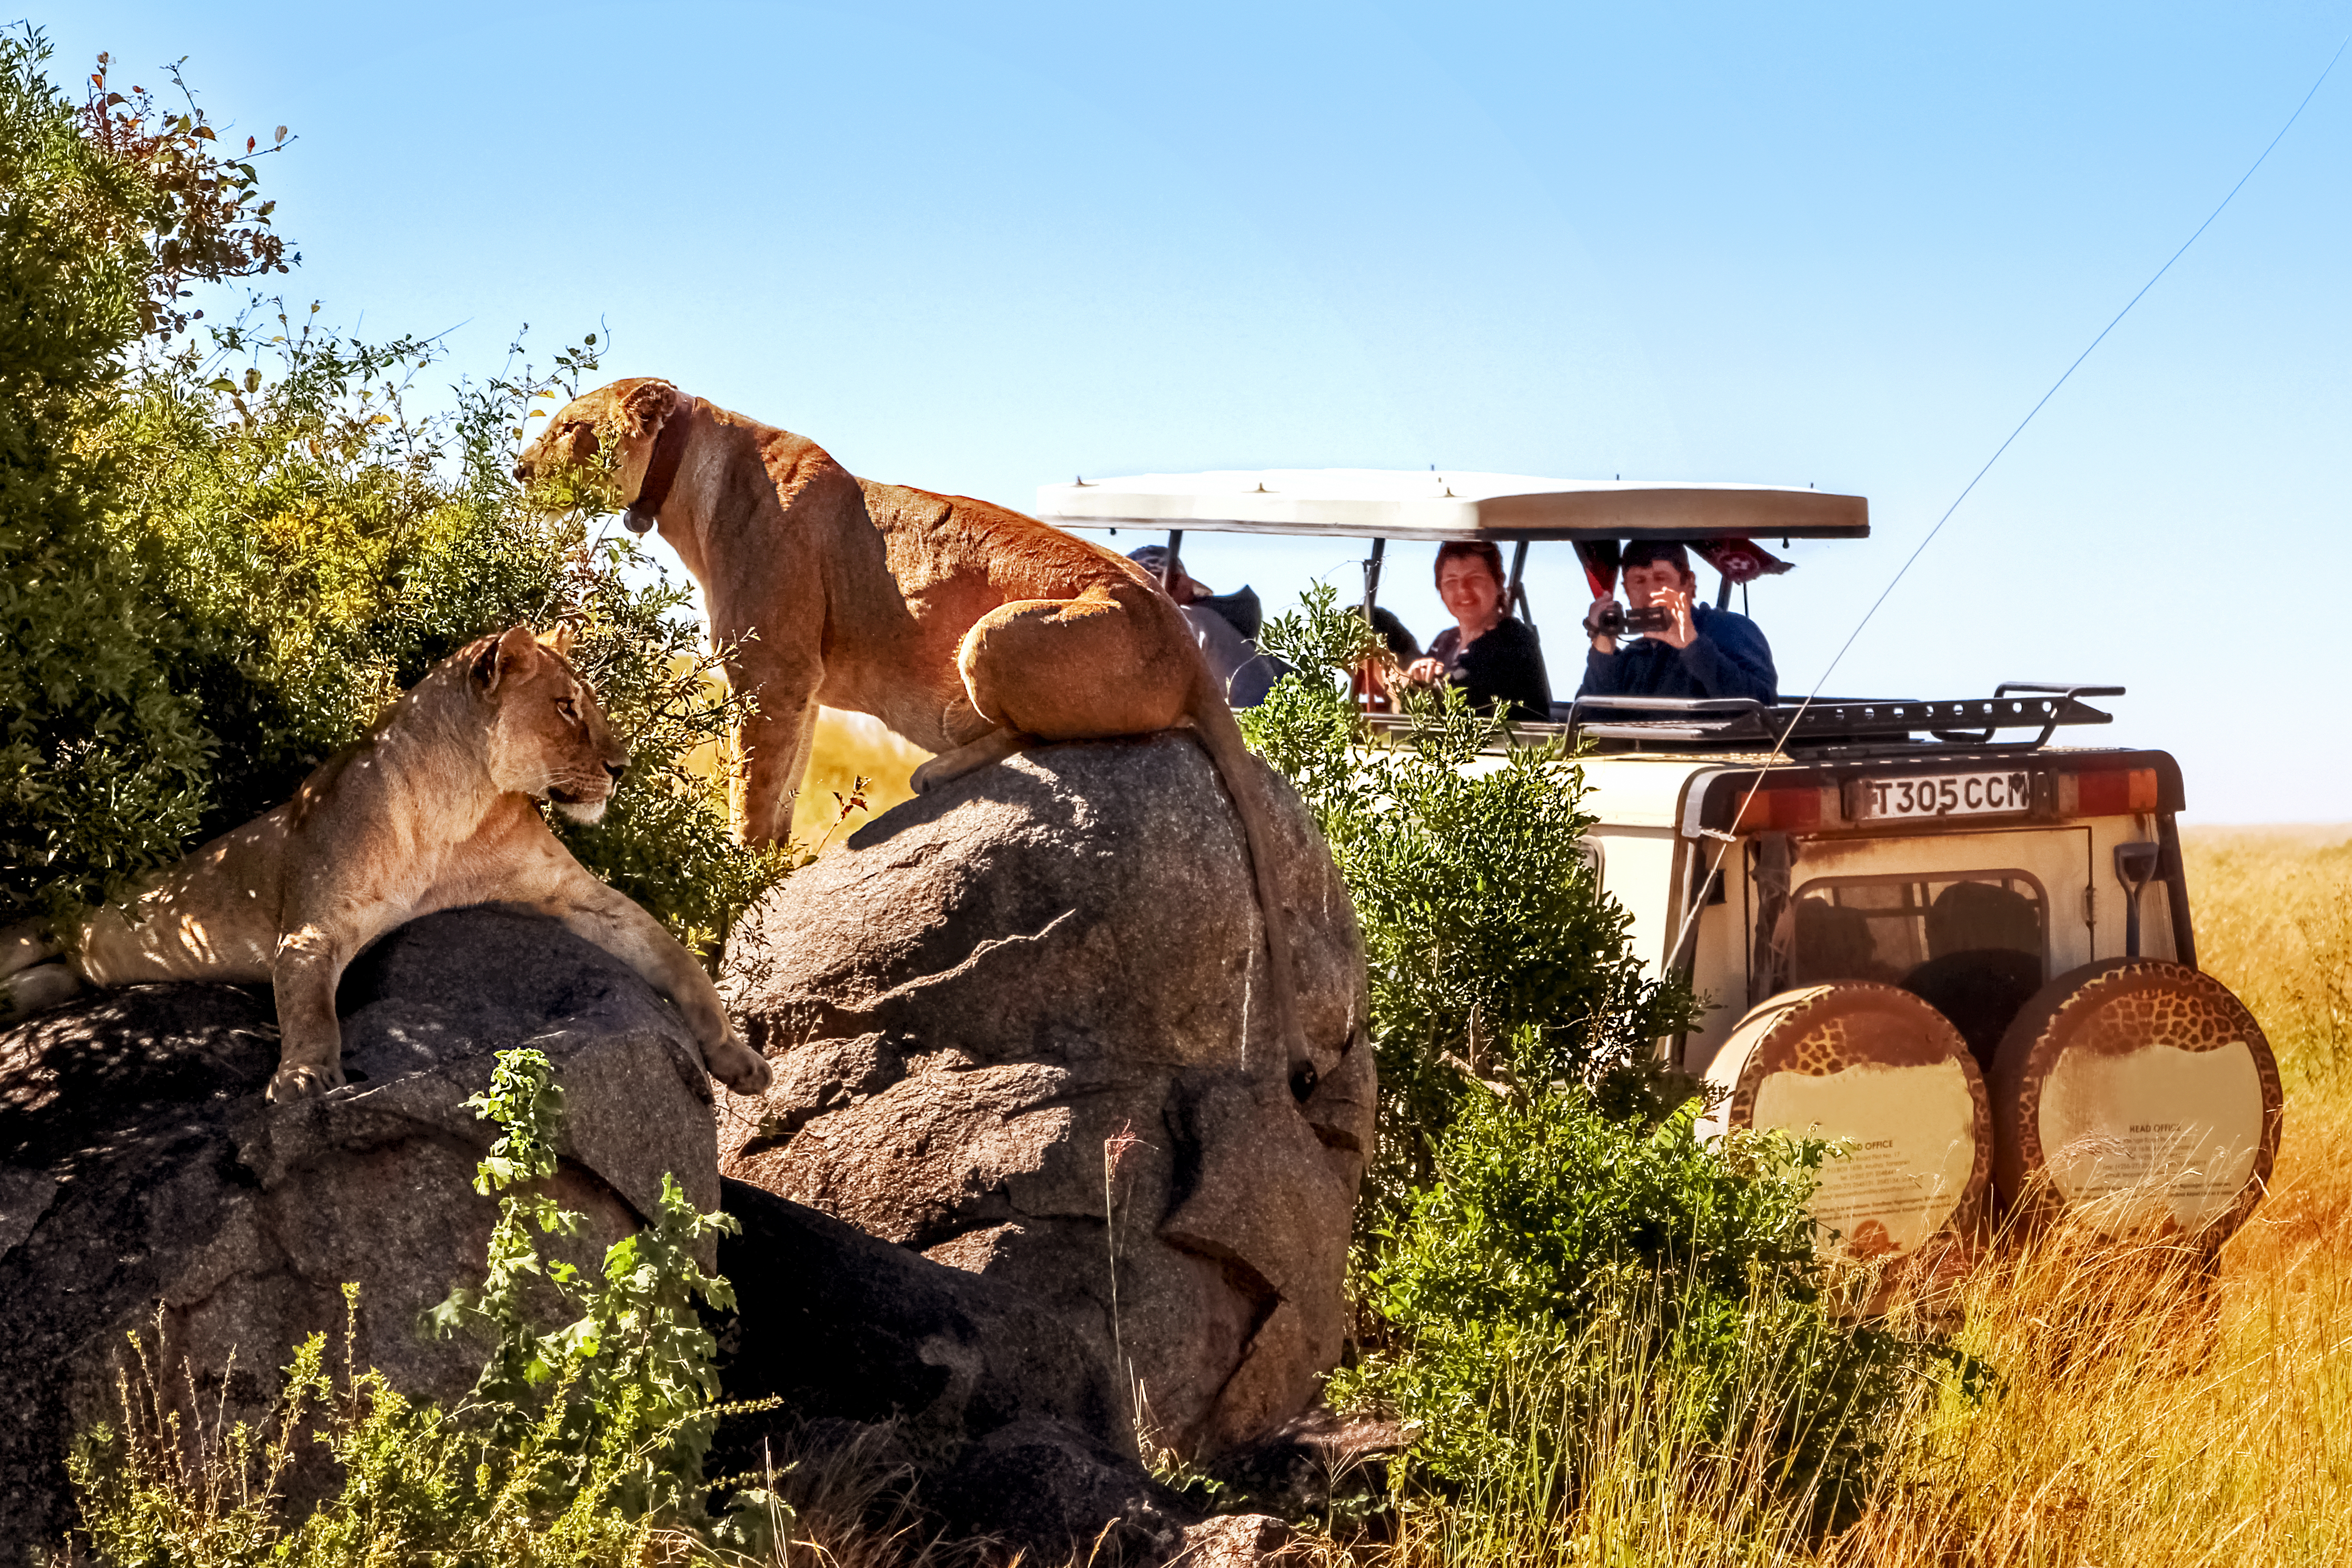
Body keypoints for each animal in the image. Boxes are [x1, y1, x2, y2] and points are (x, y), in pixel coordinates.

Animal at [0, 624, 774, 1104]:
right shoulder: (313, 927)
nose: (622, 767)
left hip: (70, 970)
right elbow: (311, 1009)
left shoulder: (573, 893)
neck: (460, 810)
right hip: (33, 928)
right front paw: (304, 1078)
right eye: (564, 707)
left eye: (589, 707)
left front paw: (735, 1056)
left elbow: (675, 955)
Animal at [514, 379, 1304, 1059]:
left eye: (569, 429)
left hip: (992, 633)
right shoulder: (802, 688)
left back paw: (938, 766)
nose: (520, 471)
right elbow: (783, 788)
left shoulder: (771, 672)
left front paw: (729, 908)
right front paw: (768, 876)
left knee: (1035, 734)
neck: (690, 474)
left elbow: (751, 795)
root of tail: (1189, 645)